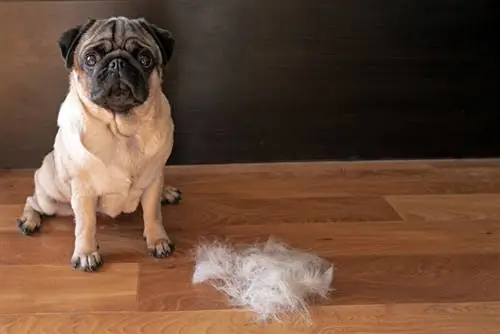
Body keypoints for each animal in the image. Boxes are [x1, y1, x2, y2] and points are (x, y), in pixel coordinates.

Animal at [15, 15, 182, 272]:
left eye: (145, 59)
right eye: (90, 59)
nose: (117, 63)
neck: (122, 131)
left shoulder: (153, 180)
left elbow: (153, 213)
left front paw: (157, 240)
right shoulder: (83, 191)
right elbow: (86, 224)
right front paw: (86, 253)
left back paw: (167, 192)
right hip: (50, 197)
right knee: (33, 200)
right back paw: (29, 220)